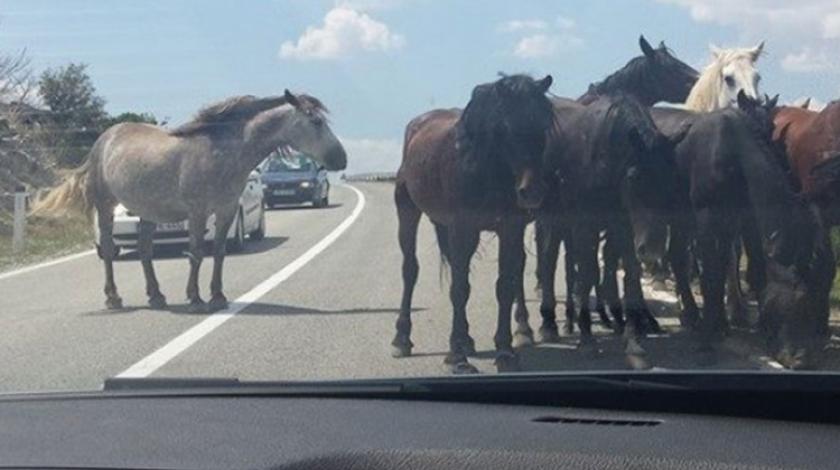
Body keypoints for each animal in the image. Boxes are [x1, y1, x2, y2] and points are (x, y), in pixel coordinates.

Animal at [32, 91, 346, 312]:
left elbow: (218, 251)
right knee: (109, 251)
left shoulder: (226, 210)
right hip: (105, 205)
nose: (341, 159)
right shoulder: (197, 212)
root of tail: (104, 139)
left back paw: (156, 296)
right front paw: (195, 298)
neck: (221, 152)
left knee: (145, 251)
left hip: (147, 211)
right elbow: (195, 253)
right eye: (316, 121)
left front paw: (217, 296)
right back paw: (114, 298)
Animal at [396, 74, 556, 374]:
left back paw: (469, 339)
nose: (532, 191)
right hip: (408, 212)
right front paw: (457, 358)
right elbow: (459, 289)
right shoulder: (462, 228)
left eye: (543, 124)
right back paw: (402, 338)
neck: (484, 167)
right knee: (410, 270)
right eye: (506, 127)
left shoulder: (510, 228)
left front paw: (505, 351)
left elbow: (504, 285)